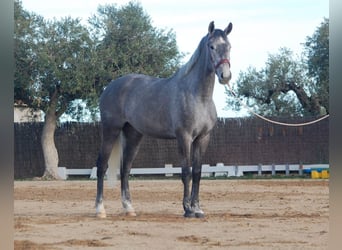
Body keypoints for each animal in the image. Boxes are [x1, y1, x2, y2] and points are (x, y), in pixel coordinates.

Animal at [95, 20, 231, 218]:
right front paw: (187, 209)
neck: (198, 96)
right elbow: (186, 172)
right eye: (211, 46)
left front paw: (197, 208)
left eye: (229, 46)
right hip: (110, 130)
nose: (225, 76)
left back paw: (129, 208)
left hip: (133, 135)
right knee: (101, 166)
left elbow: (197, 172)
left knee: (125, 168)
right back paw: (100, 209)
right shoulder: (184, 137)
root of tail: (111, 87)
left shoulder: (203, 138)